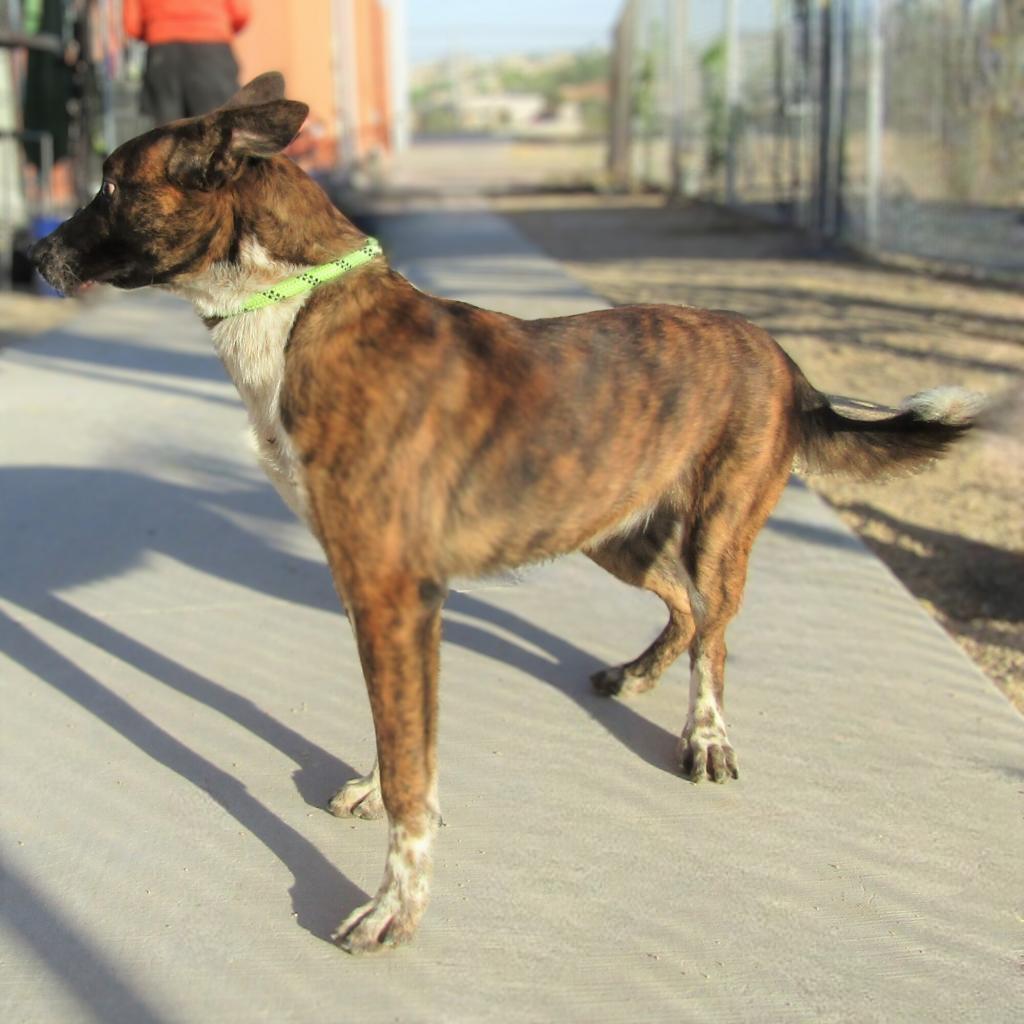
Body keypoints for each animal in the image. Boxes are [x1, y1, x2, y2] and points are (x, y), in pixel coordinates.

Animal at [28, 75, 978, 954]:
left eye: (110, 184)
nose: (35, 257)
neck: (297, 310)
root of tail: (783, 356)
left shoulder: (391, 593)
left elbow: (411, 768)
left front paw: (396, 903)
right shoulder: (379, 593)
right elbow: (403, 734)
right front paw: (377, 790)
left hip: (715, 530)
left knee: (712, 631)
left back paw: (705, 734)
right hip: (606, 528)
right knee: (678, 606)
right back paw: (635, 675)